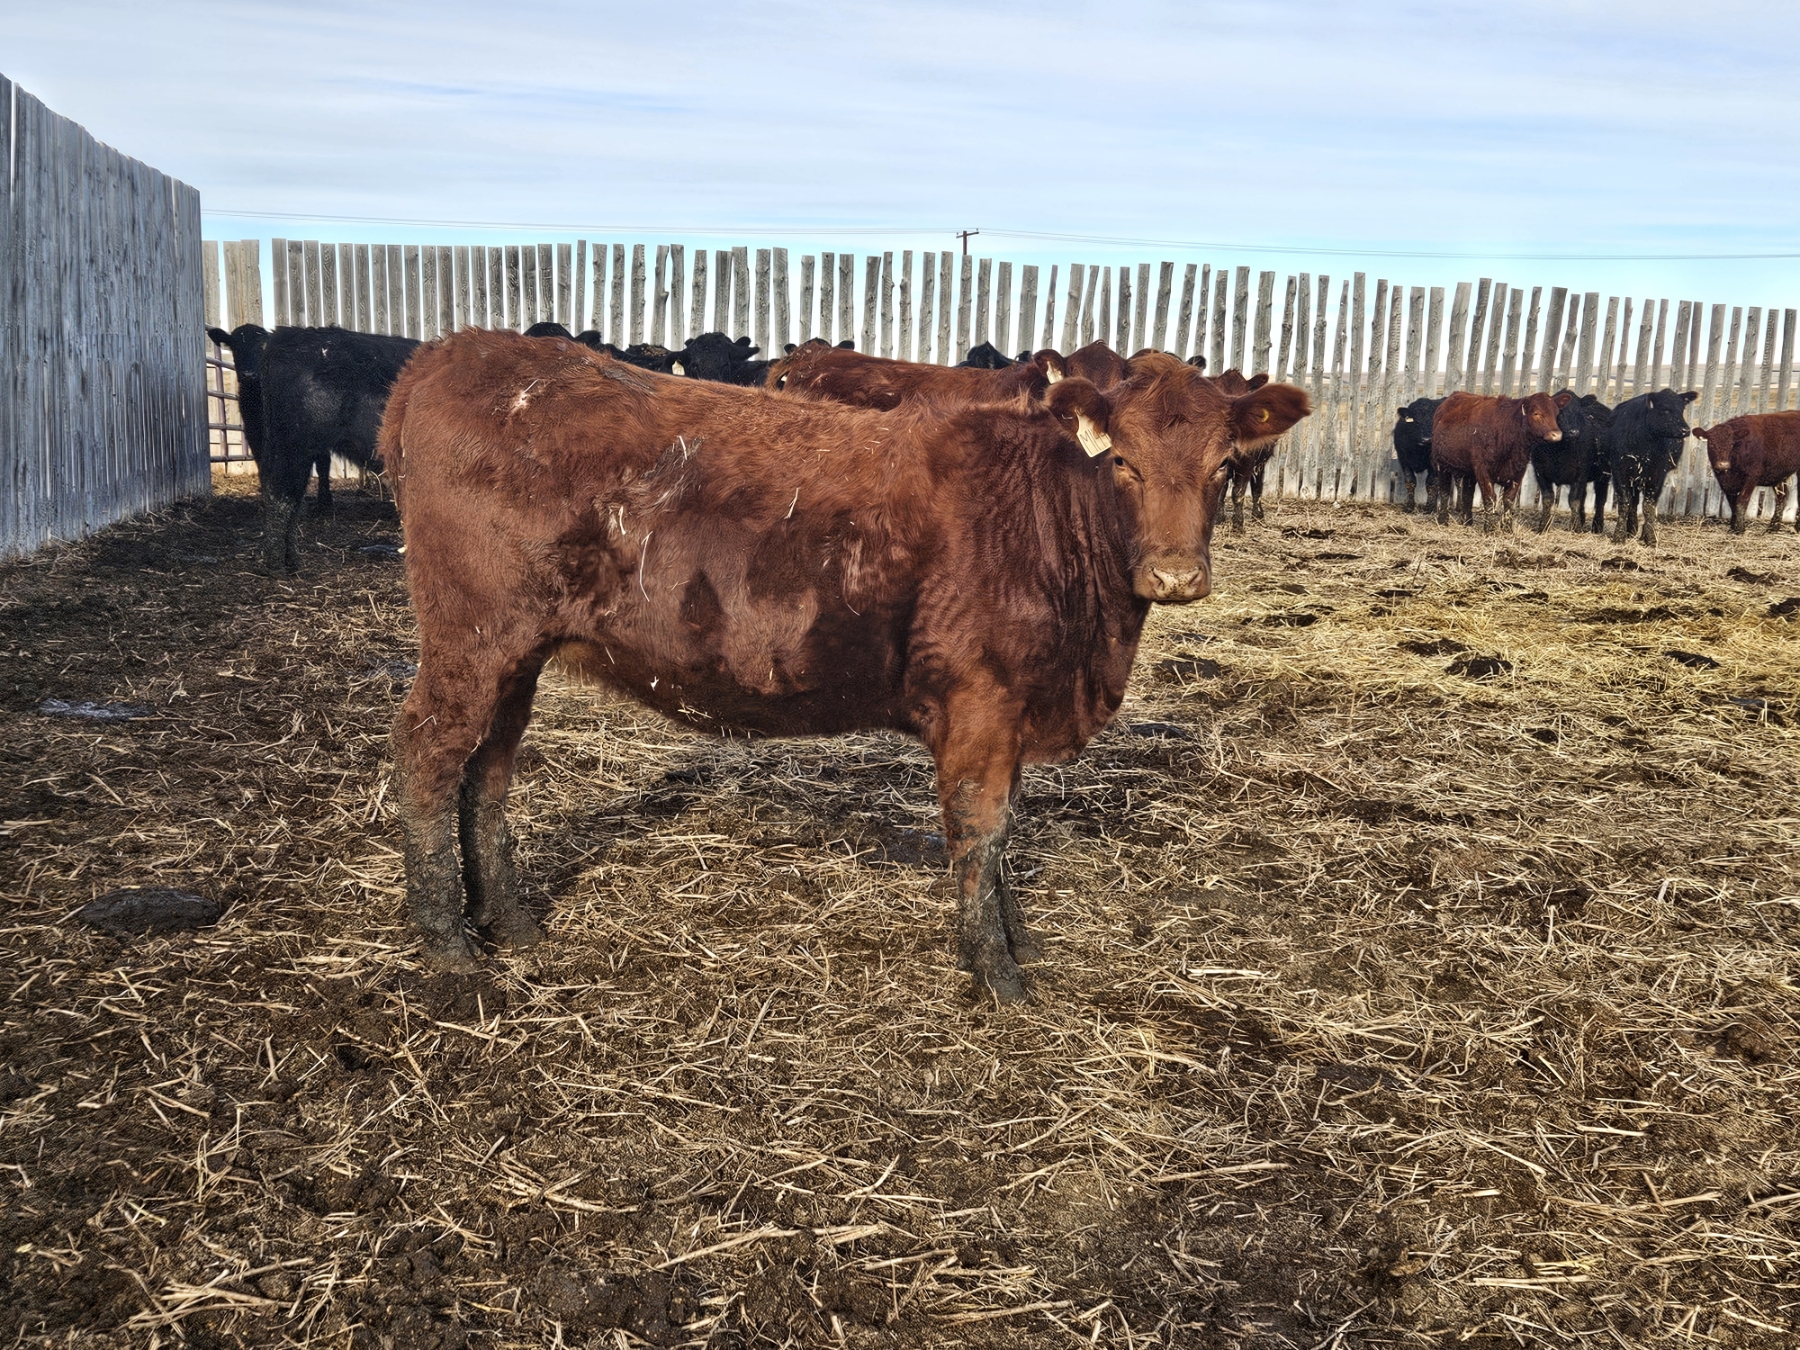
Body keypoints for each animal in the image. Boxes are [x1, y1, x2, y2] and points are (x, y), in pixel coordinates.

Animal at [246, 326, 420, 574]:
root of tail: (286, 335)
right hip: (292, 447)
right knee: (281, 496)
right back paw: (276, 566)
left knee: (292, 498)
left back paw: (293, 561)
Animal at [381, 332, 1311, 1001]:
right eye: (1122, 460)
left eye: (1225, 465)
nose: (1174, 575)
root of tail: (452, 352)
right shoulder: (981, 702)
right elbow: (982, 830)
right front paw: (998, 976)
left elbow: (1002, 835)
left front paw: (1016, 940)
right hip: (472, 639)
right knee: (430, 755)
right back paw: (450, 949)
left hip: (516, 656)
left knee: (489, 771)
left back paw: (511, 925)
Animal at [1431, 390, 1570, 531]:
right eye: (1536, 413)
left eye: (1556, 413)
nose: (1556, 435)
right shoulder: (1482, 469)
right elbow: (1490, 498)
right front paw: (1489, 528)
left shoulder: (1518, 471)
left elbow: (1508, 499)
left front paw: (1507, 528)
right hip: (1442, 464)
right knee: (1444, 490)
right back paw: (1443, 520)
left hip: (1469, 470)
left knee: (1467, 494)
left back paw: (1467, 521)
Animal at [1531, 393, 1612, 533]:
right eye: (1558, 413)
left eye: (1579, 413)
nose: (1574, 432)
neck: (1558, 452)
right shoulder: (1540, 472)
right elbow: (1548, 499)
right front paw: (1543, 526)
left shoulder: (1579, 474)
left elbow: (1574, 501)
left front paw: (1577, 528)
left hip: (1604, 475)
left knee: (1600, 499)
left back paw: (1597, 526)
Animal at [1603, 389, 1699, 546]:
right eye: (1664, 410)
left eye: (1682, 409)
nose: (1685, 430)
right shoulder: (1619, 472)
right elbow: (1624, 503)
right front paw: (1619, 535)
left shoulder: (1657, 474)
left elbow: (1649, 506)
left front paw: (1650, 537)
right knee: (1633, 502)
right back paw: (1631, 529)